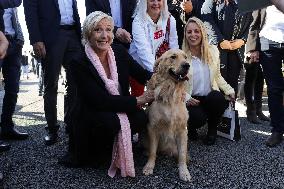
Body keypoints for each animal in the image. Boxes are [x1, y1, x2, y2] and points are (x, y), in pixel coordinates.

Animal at [144, 48, 191, 182]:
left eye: (185, 57)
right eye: (173, 57)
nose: (187, 65)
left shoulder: (182, 130)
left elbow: (182, 154)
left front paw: (184, 172)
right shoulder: (152, 127)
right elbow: (152, 152)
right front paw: (149, 167)